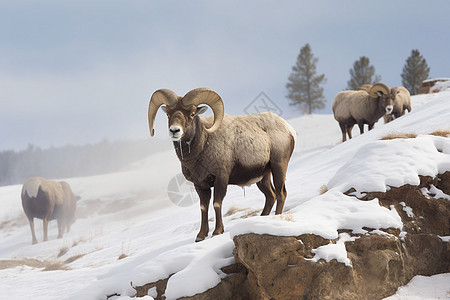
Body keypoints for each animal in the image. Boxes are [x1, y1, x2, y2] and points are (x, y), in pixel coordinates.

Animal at [147, 87, 296, 241]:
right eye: (168, 114)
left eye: (192, 114)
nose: (174, 130)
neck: (203, 145)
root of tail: (288, 129)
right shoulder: (200, 185)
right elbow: (204, 207)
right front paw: (200, 235)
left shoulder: (221, 179)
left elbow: (217, 203)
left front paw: (217, 231)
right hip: (262, 178)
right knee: (270, 196)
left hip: (278, 167)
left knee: (281, 193)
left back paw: (277, 216)